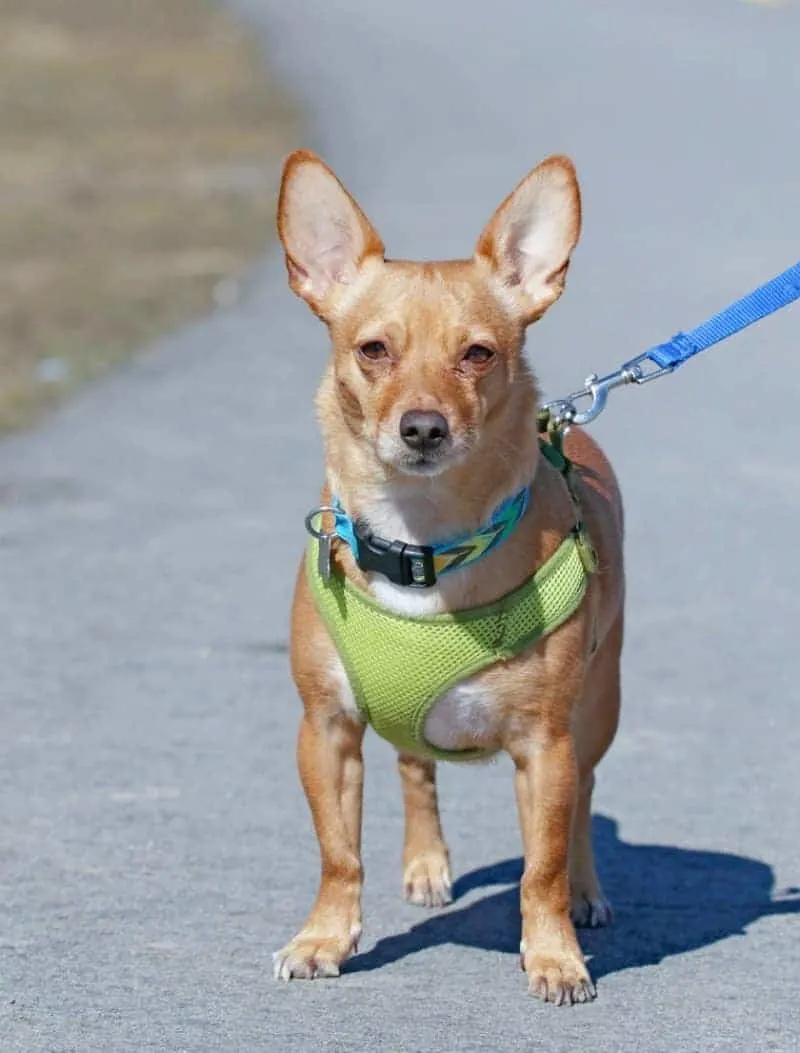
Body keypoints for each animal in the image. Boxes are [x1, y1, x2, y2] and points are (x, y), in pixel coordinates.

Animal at [273, 150, 623, 1002]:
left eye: (479, 354)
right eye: (373, 350)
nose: (424, 428)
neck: (424, 543)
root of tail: (569, 428)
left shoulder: (546, 745)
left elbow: (541, 866)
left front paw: (553, 953)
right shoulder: (325, 730)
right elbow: (338, 851)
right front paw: (326, 936)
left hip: (597, 712)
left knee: (585, 806)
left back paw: (588, 891)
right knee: (413, 764)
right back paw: (427, 863)